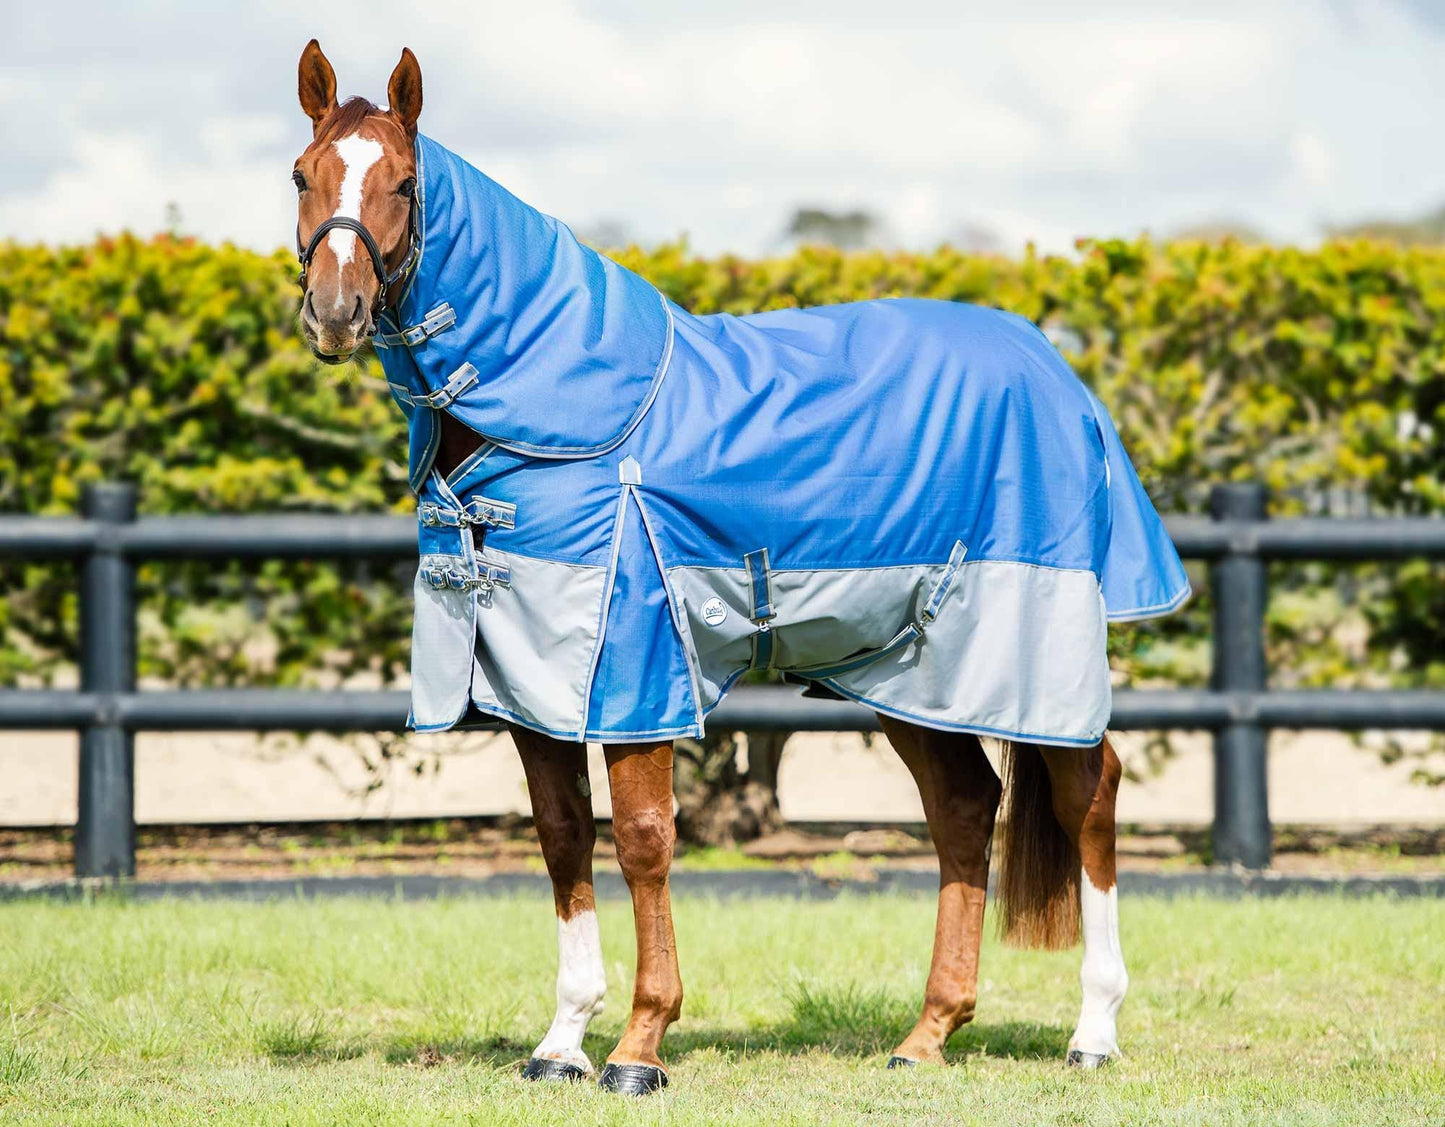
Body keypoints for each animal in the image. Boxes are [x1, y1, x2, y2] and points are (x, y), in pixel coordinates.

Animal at [290, 40, 1185, 1095]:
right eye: (303, 175)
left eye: (404, 181)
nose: (336, 313)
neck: (550, 411)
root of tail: (1059, 376)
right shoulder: (531, 678)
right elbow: (561, 836)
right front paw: (561, 1041)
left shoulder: (631, 663)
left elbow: (642, 840)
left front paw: (639, 1045)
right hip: (909, 670)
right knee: (965, 808)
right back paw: (926, 1033)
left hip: (1033, 646)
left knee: (1088, 795)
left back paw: (1092, 1030)